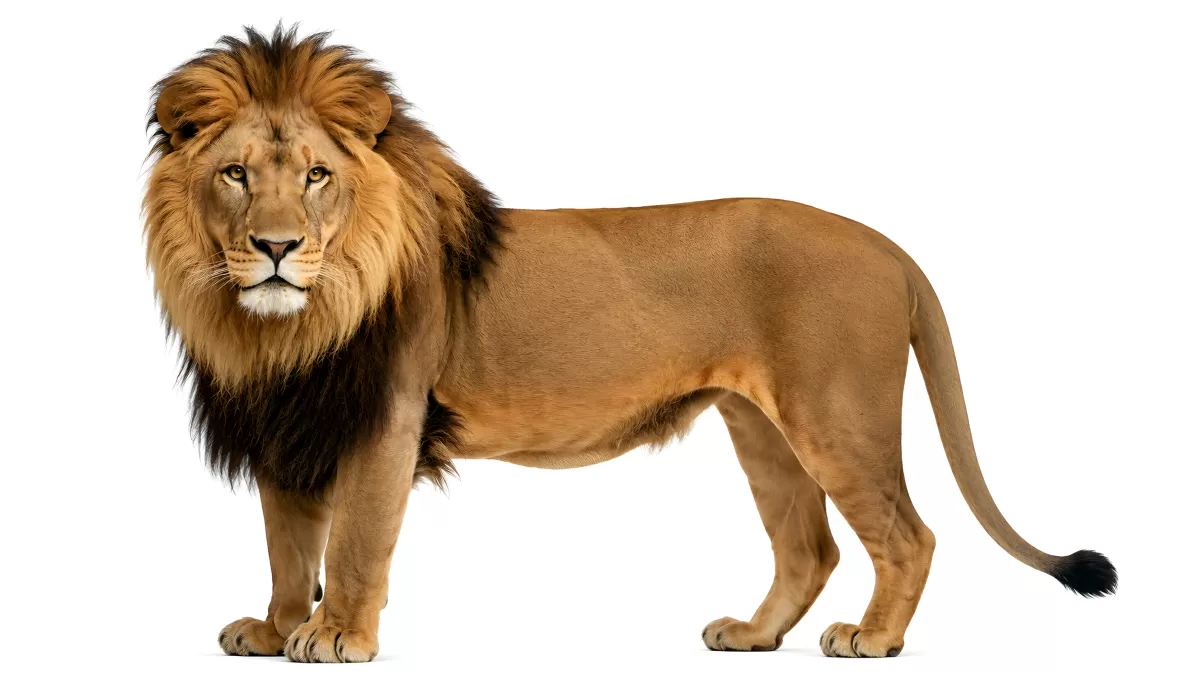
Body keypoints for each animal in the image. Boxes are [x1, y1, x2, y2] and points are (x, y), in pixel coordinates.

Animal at [144, 26, 1116, 663]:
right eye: (235, 174)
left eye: (317, 175)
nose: (276, 246)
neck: (283, 331)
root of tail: (892, 249)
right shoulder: (286, 425)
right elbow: (287, 544)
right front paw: (275, 629)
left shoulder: (385, 417)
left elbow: (350, 543)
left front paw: (336, 632)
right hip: (761, 429)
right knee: (810, 546)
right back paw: (753, 634)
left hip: (837, 415)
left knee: (909, 536)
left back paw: (873, 638)